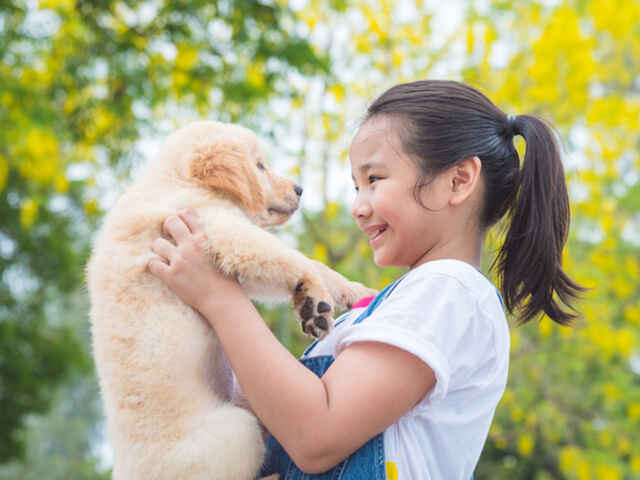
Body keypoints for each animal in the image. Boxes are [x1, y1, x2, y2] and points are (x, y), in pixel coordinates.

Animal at [86, 121, 376, 480]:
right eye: (260, 166)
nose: (299, 189)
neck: (177, 179)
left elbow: (299, 265)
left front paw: (348, 292)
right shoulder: (220, 228)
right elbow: (290, 256)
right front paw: (317, 299)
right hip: (238, 428)